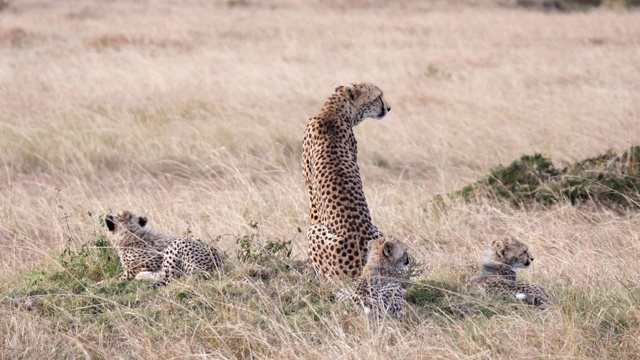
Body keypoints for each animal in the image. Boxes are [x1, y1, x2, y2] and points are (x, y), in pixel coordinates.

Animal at [302, 83, 392, 278]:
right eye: (377, 97)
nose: (388, 108)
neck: (332, 112)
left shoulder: (311, 193)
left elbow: (313, 215)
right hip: (378, 232)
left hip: (314, 233)